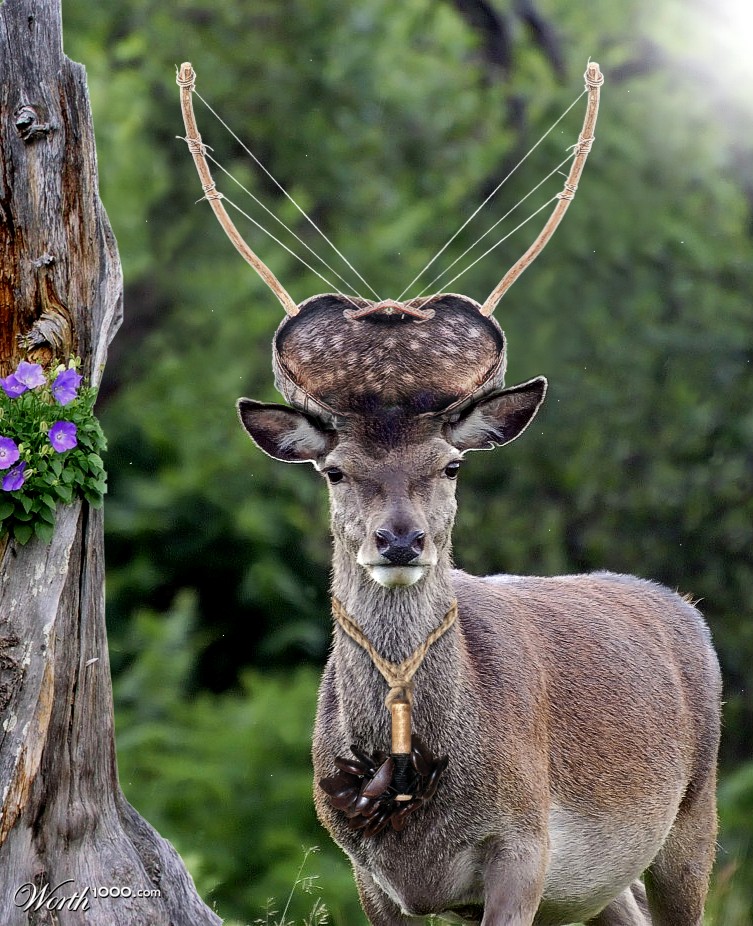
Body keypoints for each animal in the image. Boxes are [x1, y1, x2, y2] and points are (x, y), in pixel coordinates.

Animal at [178, 61, 722, 925]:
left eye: (451, 465)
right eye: (334, 469)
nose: (400, 539)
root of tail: (687, 610)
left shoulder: (524, 846)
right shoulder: (366, 872)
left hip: (690, 815)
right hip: (602, 882)